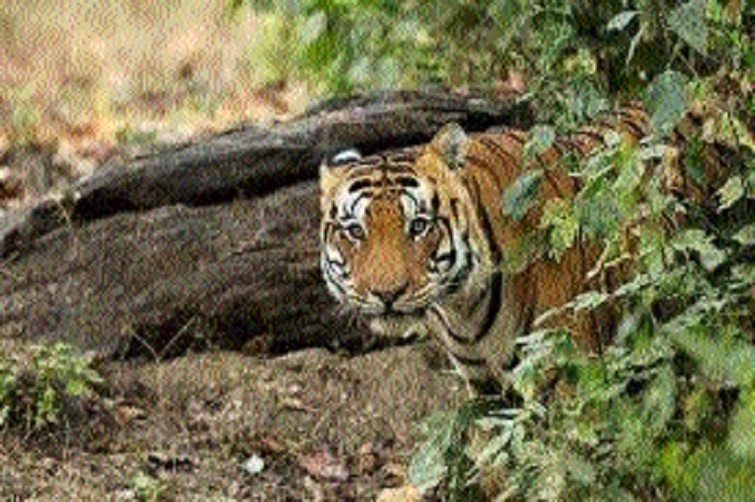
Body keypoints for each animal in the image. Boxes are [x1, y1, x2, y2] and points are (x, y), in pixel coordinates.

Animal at [319, 107, 673, 394]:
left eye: (418, 226)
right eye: (355, 231)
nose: (387, 294)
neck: (462, 308)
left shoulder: (567, 369)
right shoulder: (483, 387)